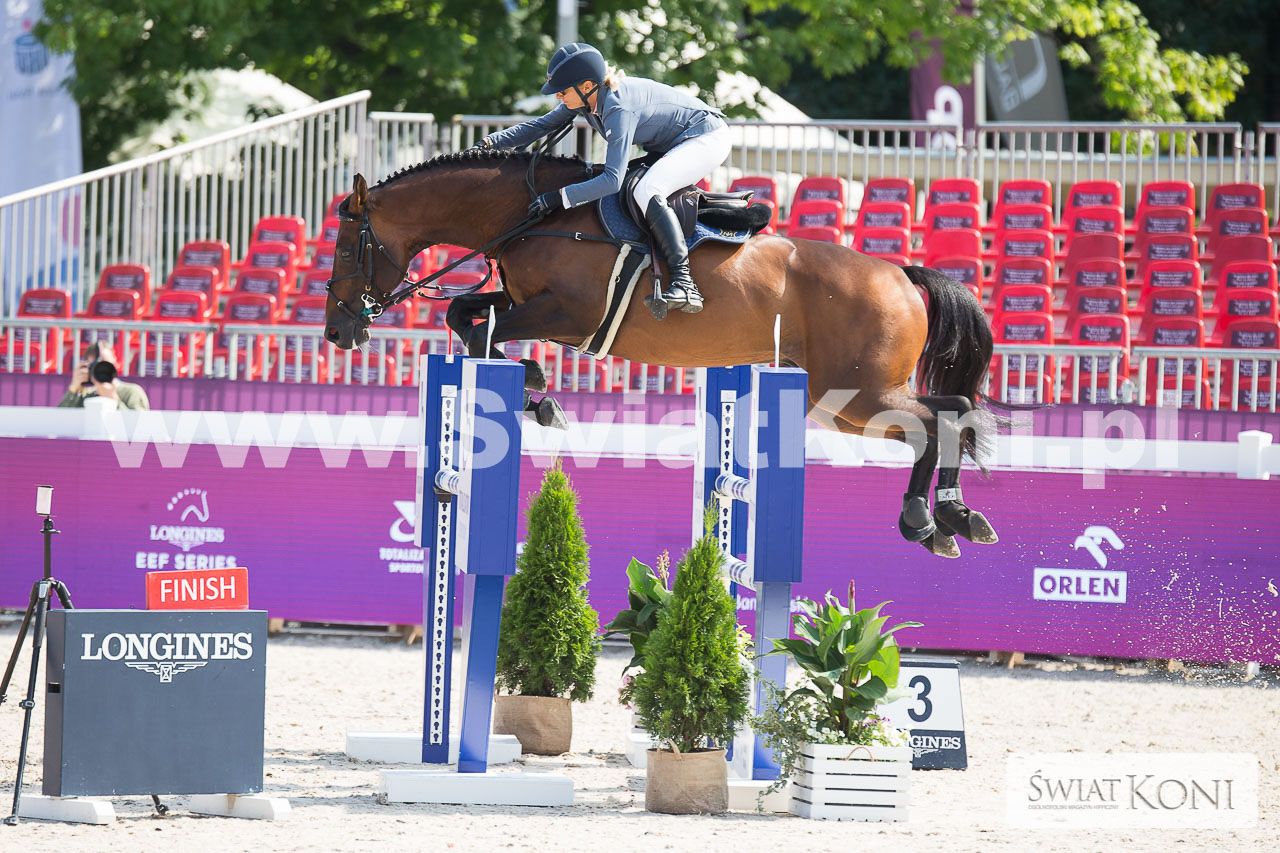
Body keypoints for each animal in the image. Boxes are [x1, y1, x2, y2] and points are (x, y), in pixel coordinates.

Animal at [323, 147, 999, 558]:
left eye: (346, 248)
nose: (335, 332)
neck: (532, 215)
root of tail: (901, 273)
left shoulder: (569, 313)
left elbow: (475, 323)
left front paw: (540, 393)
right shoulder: (530, 305)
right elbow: (468, 317)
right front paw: (539, 394)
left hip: (857, 393)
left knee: (938, 419)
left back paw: (925, 520)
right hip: (841, 403)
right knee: (950, 413)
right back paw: (955, 517)